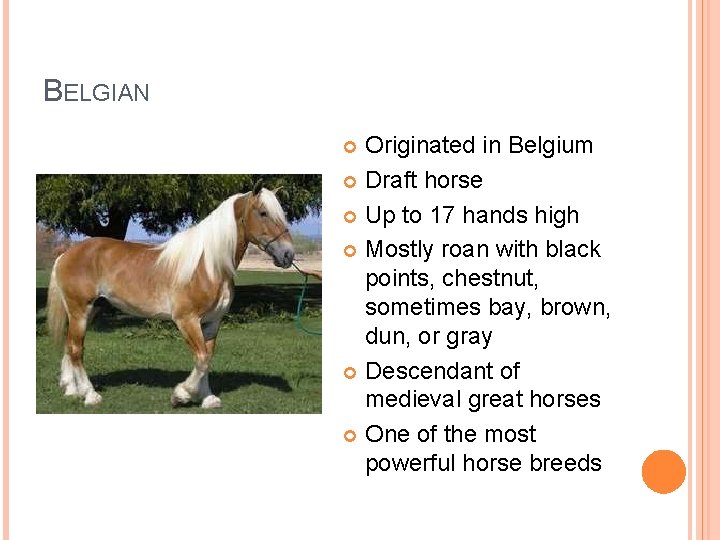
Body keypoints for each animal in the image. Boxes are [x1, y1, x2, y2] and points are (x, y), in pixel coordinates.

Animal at [45, 184, 294, 409]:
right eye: (263, 213)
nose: (288, 254)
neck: (209, 265)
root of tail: (66, 254)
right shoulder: (187, 320)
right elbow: (201, 358)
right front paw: (182, 395)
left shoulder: (212, 322)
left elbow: (207, 358)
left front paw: (207, 398)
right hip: (80, 310)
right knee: (76, 350)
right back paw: (89, 395)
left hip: (91, 311)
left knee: (69, 346)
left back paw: (71, 389)